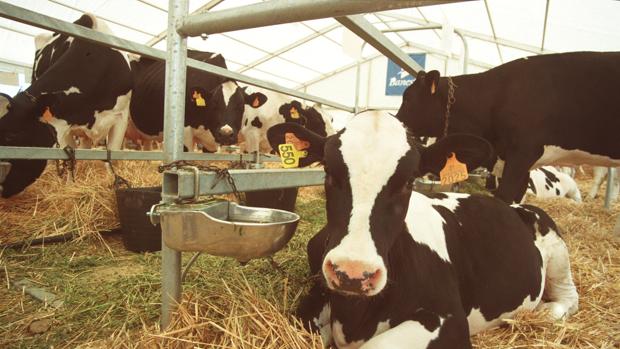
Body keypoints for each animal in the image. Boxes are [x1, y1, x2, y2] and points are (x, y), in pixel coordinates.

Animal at [268, 111, 580, 348]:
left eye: (409, 181)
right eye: (329, 173)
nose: (353, 273)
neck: (355, 316)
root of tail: (508, 204)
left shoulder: (451, 320)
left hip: (555, 244)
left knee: (569, 297)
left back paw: (546, 311)